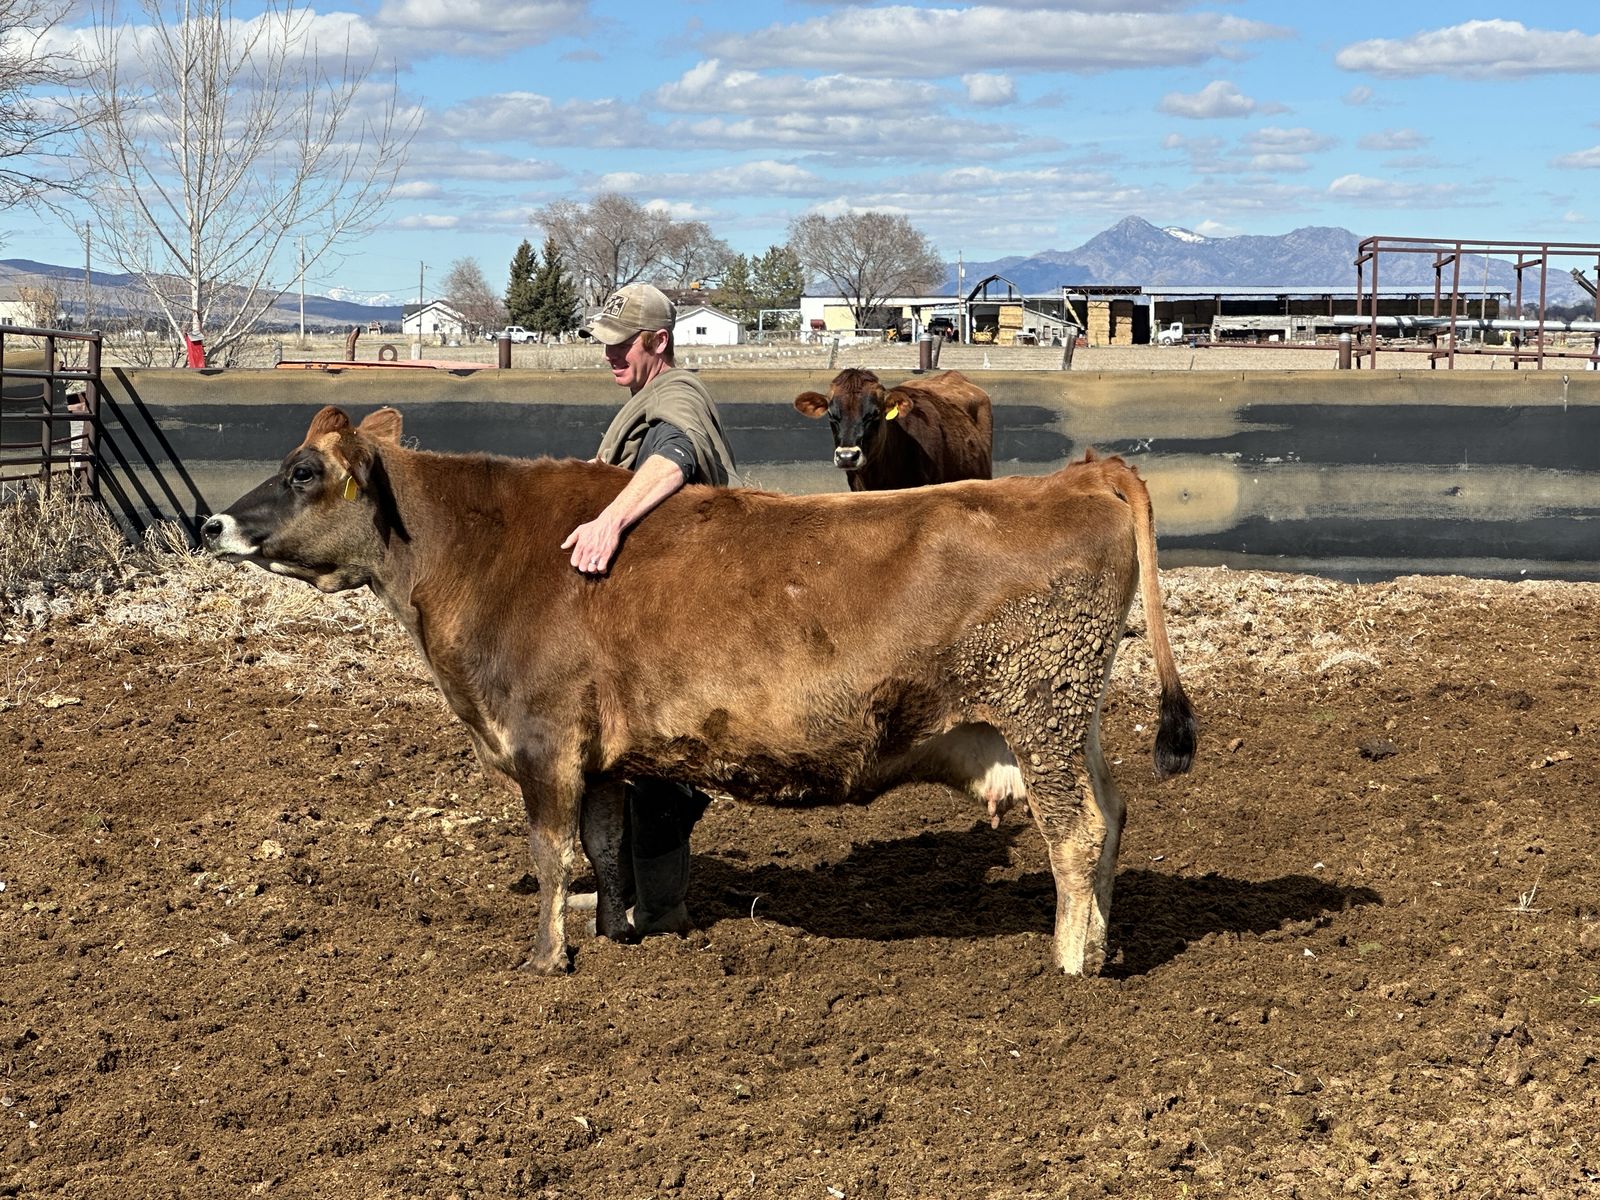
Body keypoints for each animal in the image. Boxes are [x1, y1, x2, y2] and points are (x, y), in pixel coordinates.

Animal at [203, 406, 1196, 979]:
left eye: (301, 472)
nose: (211, 522)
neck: (479, 554)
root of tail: (1079, 476)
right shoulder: (600, 756)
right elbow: (604, 846)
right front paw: (620, 932)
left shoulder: (543, 743)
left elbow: (549, 853)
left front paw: (545, 959)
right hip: (1071, 716)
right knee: (1114, 812)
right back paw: (1102, 944)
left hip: (1042, 709)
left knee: (1076, 832)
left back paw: (1069, 961)